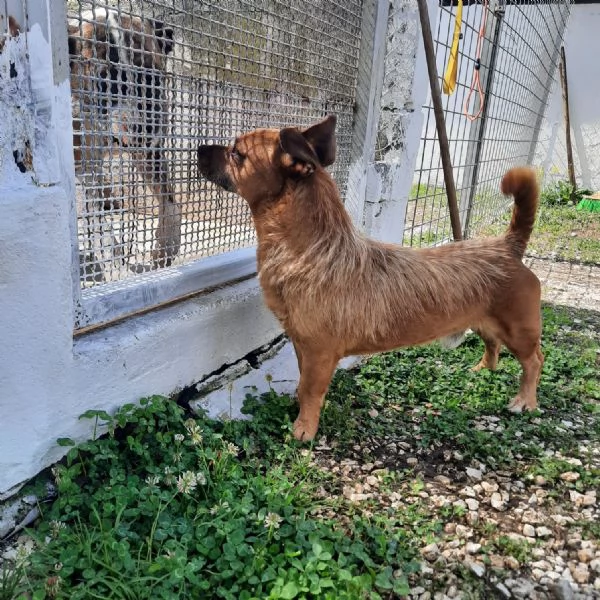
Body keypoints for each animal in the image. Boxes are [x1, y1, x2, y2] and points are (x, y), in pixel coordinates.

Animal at [198, 116, 544, 440]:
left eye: (236, 153)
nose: (199, 148)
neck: (312, 247)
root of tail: (508, 245)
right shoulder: (301, 346)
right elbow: (301, 382)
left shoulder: (319, 353)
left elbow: (310, 390)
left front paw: (304, 428)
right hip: (483, 320)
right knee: (492, 344)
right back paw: (483, 368)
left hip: (519, 331)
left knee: (534, 360)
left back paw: (524, 401)